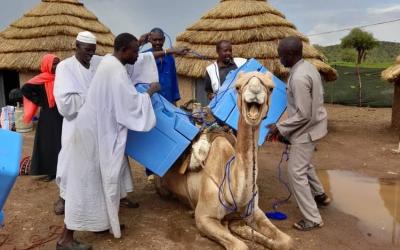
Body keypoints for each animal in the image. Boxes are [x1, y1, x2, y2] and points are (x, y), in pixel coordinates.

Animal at [156, 71, 294, 250]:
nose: (255, 91)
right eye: (237, 86)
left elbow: (286, 241)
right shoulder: (204, 217)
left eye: (271, 88)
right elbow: (240, 245)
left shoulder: (253, 211)